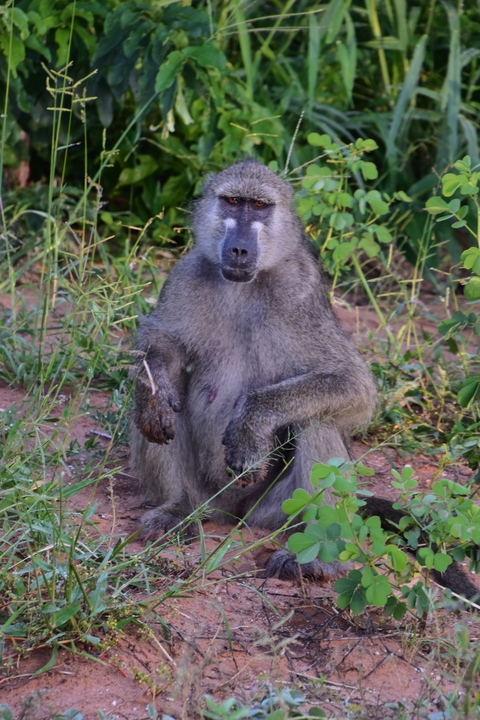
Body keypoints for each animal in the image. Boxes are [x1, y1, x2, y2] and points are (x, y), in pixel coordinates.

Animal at [130, 158, 479, 602]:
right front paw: (156, 387)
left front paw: (251, 423)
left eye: (260, 206)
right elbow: (162, 345)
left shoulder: (301, 290)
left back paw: (317, 560)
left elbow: (353, 384)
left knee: (317, 421)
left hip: (278, 510)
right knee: (151, 410)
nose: (239, 248)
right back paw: (178, 507)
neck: (249, 284)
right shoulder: (186, 273)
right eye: (232, 202)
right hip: (210, 497)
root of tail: (233, 514)